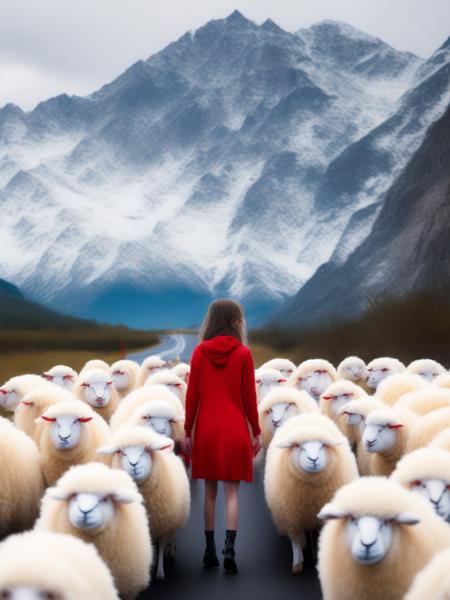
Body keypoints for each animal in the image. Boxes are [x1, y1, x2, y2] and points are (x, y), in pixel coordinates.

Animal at [97, 426, 191, 580]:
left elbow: (162, 545)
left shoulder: (163, 524)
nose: (134, 464)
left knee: (171, 537)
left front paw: (159, 572)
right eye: (121, 452)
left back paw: (171, 550)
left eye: (147, 450)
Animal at [264, 412, 358, 572]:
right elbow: (294, 539)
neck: (311, 495)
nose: (313, 459)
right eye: (298, 446)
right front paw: (297, 563)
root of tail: (305, 416)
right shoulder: (290, 515)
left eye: (322, 446)